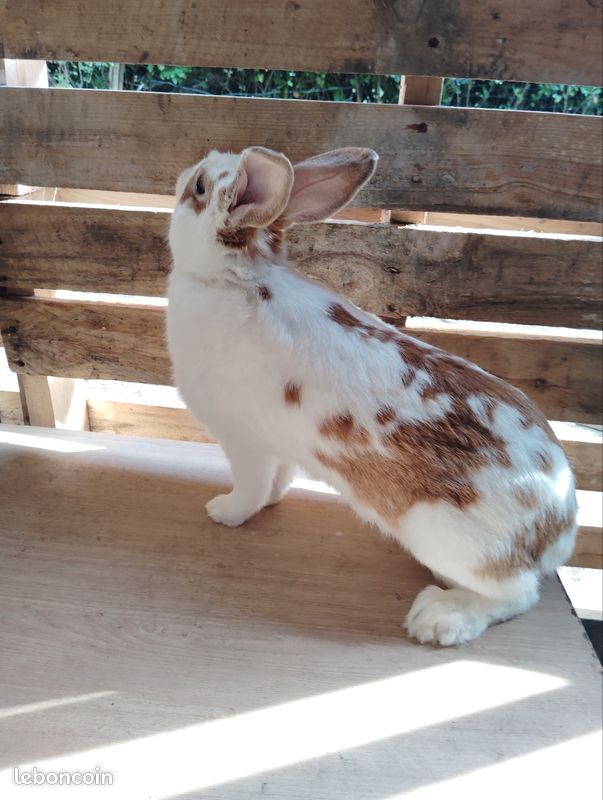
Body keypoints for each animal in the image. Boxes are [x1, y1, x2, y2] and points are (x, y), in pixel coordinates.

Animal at [167, 145, 577, 646]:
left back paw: (439, 617)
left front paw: (224, 511)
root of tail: (558, 524)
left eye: (200, 187)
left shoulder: (244, 441)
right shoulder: (277, 445)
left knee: (516, 595)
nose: (183, 174)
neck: (233, 279)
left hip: (444, 538)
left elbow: (250, 487)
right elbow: (278, 481)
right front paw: (271, 502)